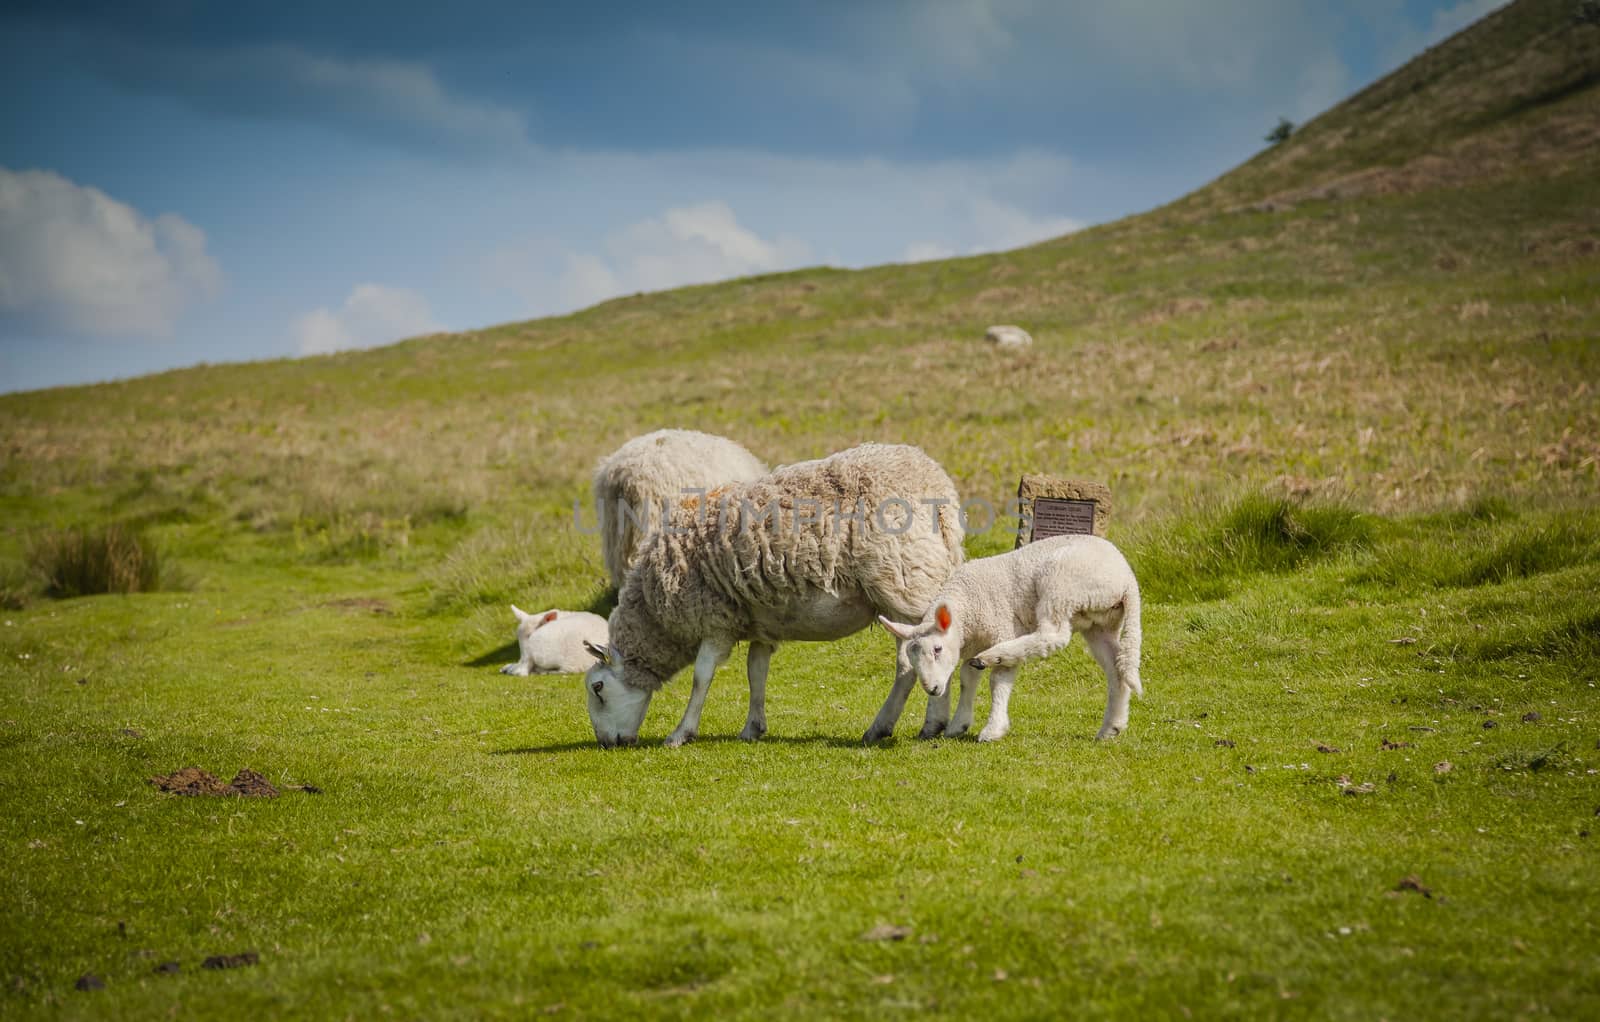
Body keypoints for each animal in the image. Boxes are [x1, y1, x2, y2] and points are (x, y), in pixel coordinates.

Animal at [876, 537, 1139, 742]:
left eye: (937, 649)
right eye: (912, 658)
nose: (931, 689)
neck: (967, 609)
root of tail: (1126, 578)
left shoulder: (1002, 629)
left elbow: (997, 682)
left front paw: (993, 729)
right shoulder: (973, 643)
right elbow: (967, 678)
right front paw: (959, 724)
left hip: (1061, 587)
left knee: (1053, 635)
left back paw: (996, 655)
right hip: (1100, 622)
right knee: (1117, 667)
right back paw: (1111, 728)